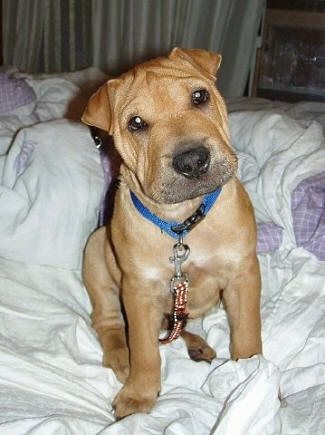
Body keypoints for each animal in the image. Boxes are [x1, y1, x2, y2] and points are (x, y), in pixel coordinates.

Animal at [81, 46, 260, 418]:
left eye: (199, 96)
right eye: (136, 123)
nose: (192, 161)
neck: (183, 222)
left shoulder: (243, 274)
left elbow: (248, 331)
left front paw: (253, 375)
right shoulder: (139, 289)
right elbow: (145, 350)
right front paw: (138, 394)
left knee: (177, 324)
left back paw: (199, 346)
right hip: (95, 250)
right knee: (107, 321)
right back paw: (121, 357)